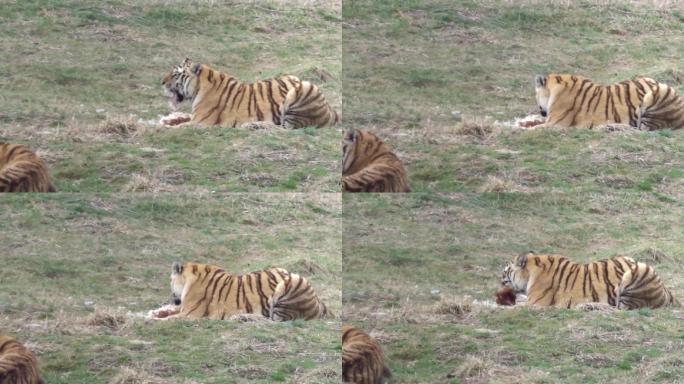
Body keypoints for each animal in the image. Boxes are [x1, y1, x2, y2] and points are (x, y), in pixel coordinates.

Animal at [152, 260, 328, 320]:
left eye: (170, 280)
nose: (172, 299)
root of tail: (319, 302)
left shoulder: (190, 313)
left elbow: (171, 318)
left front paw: (153, 318)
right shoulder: (184, 308)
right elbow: (169, 311)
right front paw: (157, 312)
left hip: (289, 284)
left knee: (274, 320)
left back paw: (241, 317)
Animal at [161, 57, 342, 129]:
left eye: (175, 74)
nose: (161, 82)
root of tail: (330, 109)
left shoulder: (200, 122)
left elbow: (180, 126)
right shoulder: (194, 117)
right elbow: (181, 118)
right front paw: (168, 120)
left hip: (302, 89)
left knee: (285, 128)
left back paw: (253, 125)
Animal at [500, 250, 680, 310]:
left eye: (505, 275)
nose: (500, 282)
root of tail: (666, 290)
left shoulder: (536, 302)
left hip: (637, 272)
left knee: (619, 309)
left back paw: (587, 306)